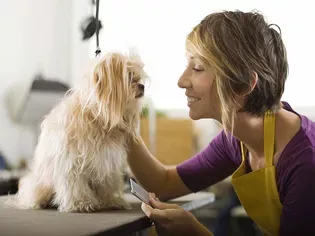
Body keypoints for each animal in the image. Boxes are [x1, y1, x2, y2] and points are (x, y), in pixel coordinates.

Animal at [6, 50, 147, 213]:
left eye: (138, 77)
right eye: (130, 76)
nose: (142, 86)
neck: (96, 119)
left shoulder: (106, 161)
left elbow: (107, 184)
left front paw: (110, 201)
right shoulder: (71, 161)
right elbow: (75, 185)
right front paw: (81, 203)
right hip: (40, 184)